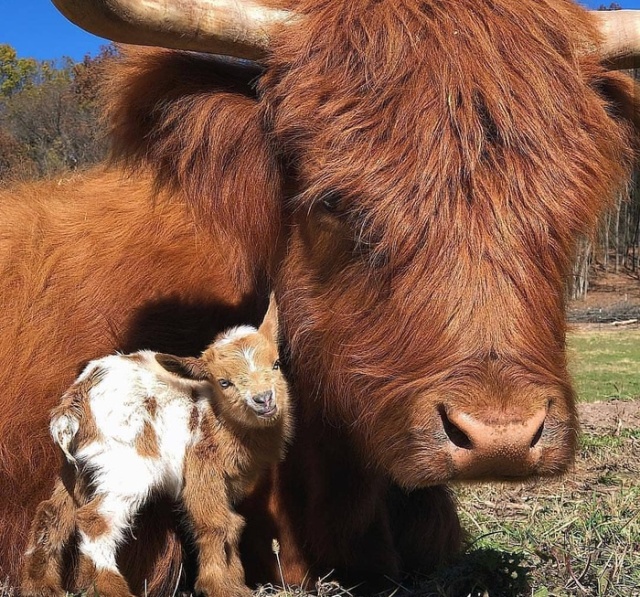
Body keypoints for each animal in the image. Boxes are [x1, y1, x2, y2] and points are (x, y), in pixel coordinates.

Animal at [20, 298, 290, 596]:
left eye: (276, 364)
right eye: (224, 382)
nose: (264, 399)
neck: (215, 414)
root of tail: (74, 403)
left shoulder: (225, 482)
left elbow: (231, 525)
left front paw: (233, 583)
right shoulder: (201, 469)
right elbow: (217, 523)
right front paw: (223, 587)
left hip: (79, 469)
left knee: (52, 513)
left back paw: (41, 587)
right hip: (128, 468)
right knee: (94, 520)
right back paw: (114, 589)